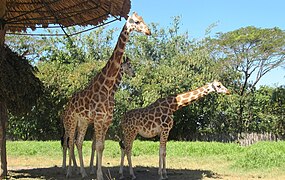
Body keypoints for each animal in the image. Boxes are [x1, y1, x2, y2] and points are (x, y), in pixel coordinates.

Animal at [62, 11, 151, 179]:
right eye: (136, 22)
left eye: (143, 20)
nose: (149, 31)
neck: (109, 88)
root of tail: (67, 104)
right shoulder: (97, 119)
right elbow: (97, 146)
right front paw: (98, 174)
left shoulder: (106, 120)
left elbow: (101, 146)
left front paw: (98, 171)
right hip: (71, 121)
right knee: (68, 142)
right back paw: (69, 171)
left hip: (83, 121)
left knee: (78, 142)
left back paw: (82, 171)